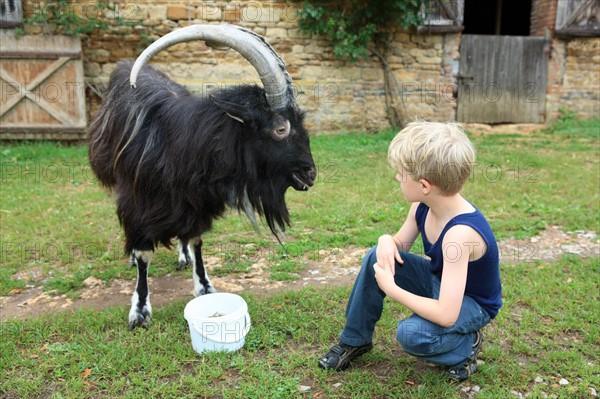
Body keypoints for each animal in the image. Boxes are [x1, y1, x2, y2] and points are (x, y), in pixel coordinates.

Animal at [88, 25, 316, 332]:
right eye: (281, 129)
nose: (310, 174)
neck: (178, 144)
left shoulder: (197, 202)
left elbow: (196, 241)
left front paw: (205, 288)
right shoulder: (137, 203)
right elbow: (144, 253)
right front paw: (140, 311)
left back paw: (182, 256)